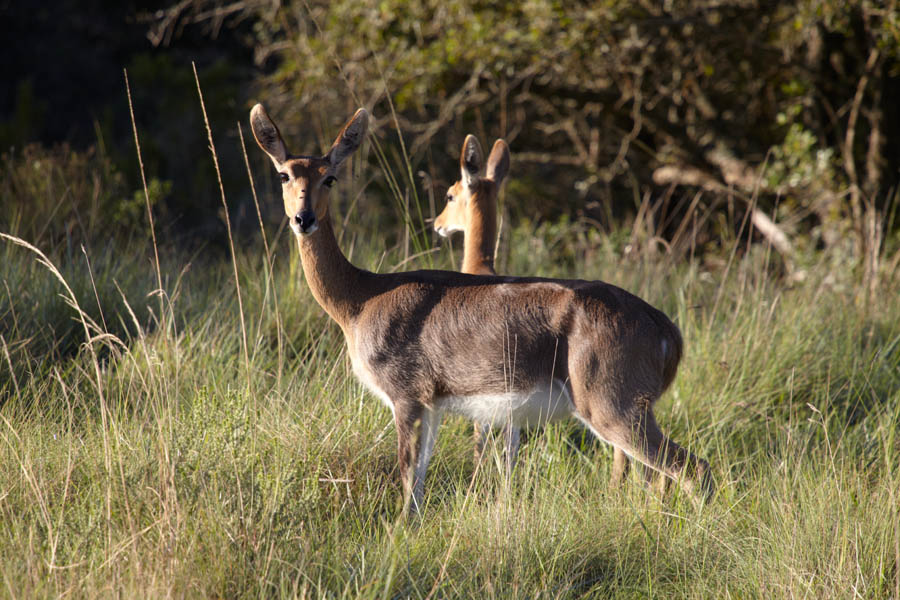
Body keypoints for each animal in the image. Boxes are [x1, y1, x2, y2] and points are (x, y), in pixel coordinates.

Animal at [250, 104, 712, 516]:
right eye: (284, 174)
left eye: (329, 177)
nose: (303, 218)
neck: (359, 299)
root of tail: (668, 332)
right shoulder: (433, 403)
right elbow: (421, 482)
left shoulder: (405, 393)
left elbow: (408, 482)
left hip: (611, 401)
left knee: (689, 468)